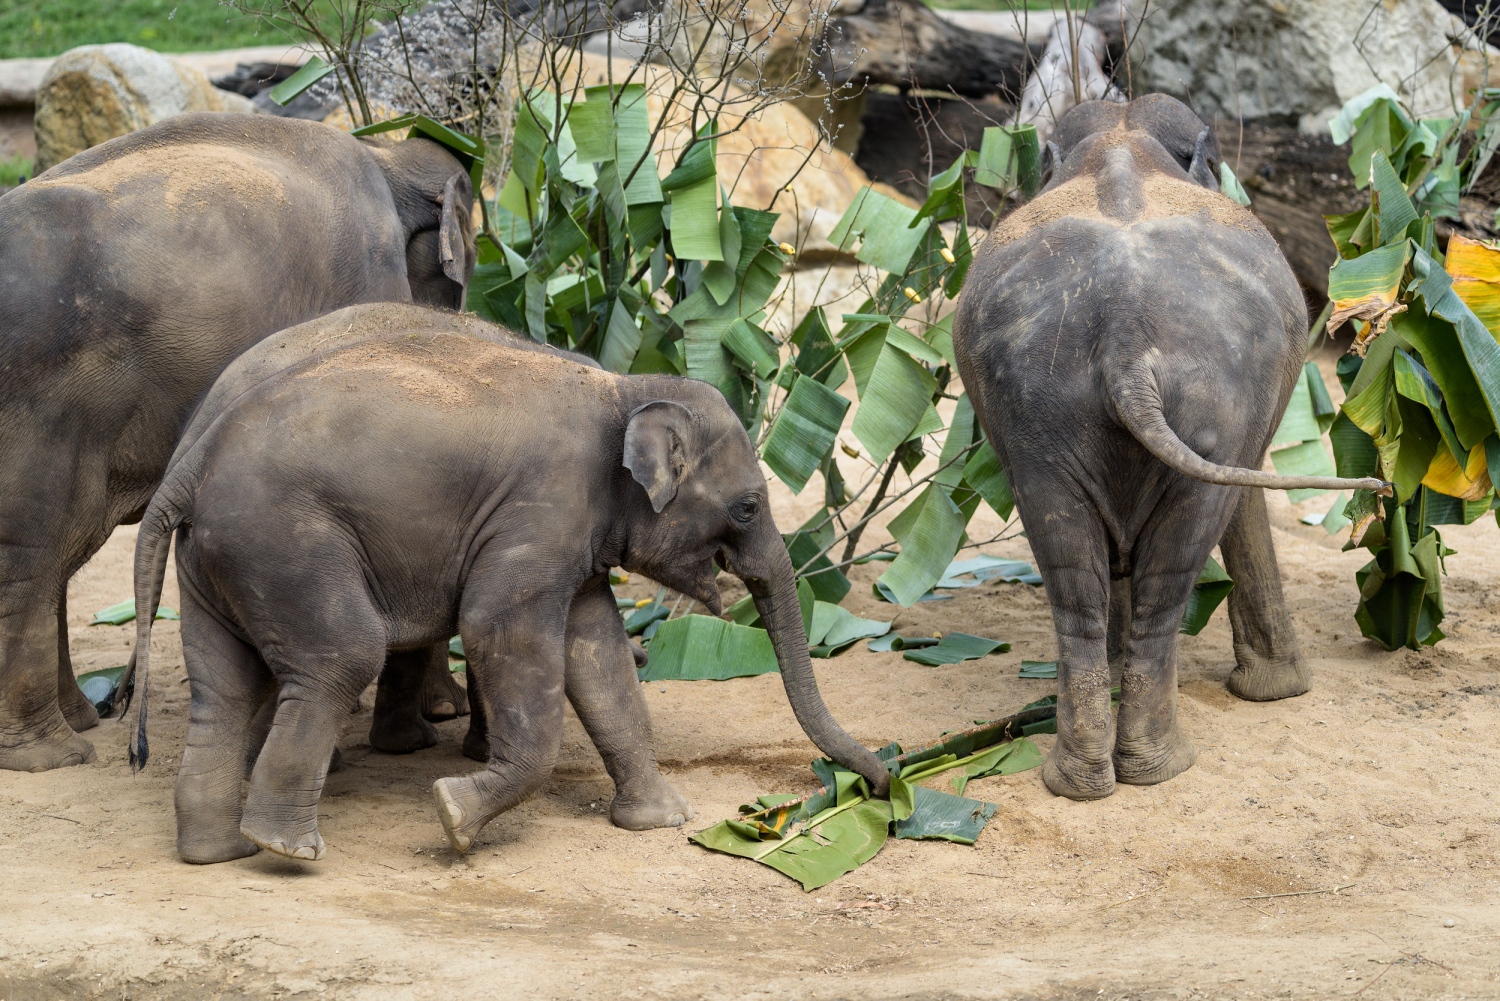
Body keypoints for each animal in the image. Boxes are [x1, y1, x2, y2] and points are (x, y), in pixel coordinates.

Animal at [0, 109, 477, 774]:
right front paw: (436, 718)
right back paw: (51, 753)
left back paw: (80, 721)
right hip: (43, 402)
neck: (387, 154)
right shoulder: (367, 277)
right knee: (35, 553)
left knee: (52, 555)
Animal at [132, 306, 888, 864]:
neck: (623, 388)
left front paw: (662, 819)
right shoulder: (539, 511)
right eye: (750, 507)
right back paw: (288, 846)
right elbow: (497, 625)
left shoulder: (572, 538)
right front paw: (453, 814)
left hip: (220, 560)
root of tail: (191, 462)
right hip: (283, 544)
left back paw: (217, 850)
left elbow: (596, 652)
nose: (884, 778)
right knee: (342, 656)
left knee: (225, 689)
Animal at [954, 97, 1386, 804]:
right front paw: (1280, 693)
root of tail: (1126, 336)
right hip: (1213, 396)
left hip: (1043, 409)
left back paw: (1084, 776)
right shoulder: (1249, 415)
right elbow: (1244, 502)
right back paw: (1163, 765)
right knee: (1179, 552)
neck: (1123, 139)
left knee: (1072, 570)